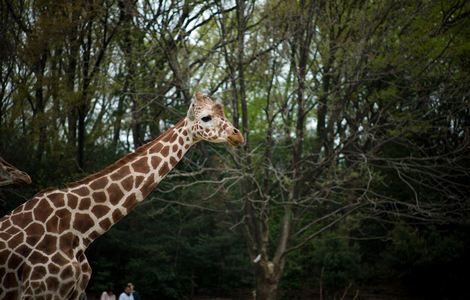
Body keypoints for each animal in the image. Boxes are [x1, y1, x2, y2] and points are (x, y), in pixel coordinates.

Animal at [0, 92, 242, 300]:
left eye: (223, 114)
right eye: (206, 117)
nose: (237, 135)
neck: (79, 229)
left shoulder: (74, 292)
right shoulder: (41, 291)